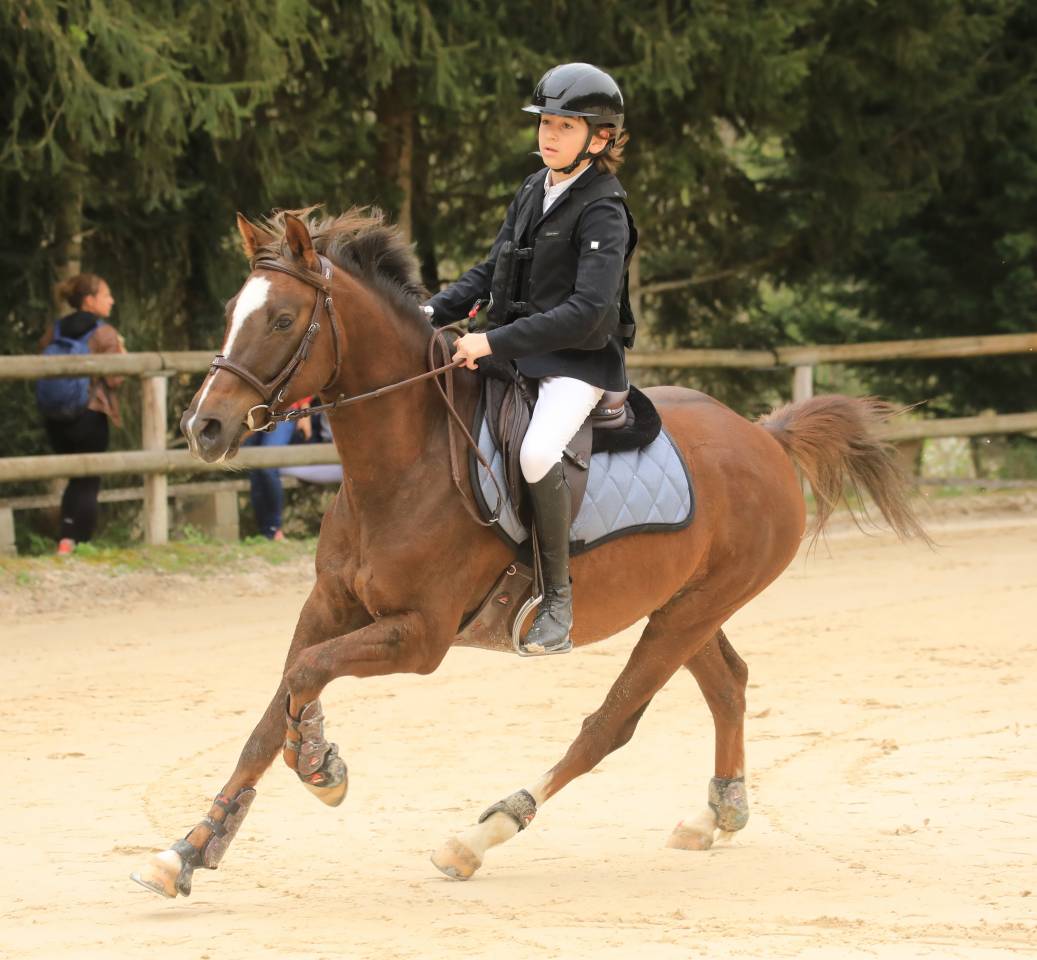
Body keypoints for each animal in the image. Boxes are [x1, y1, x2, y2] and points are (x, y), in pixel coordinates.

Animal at [131, 207, 927, 898]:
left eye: (282, 319)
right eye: (234, 309)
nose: (204, 427)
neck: (405, 462)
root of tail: (764, 436)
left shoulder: (420, 636)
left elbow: (305, 676)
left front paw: (321, 764)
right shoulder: (329, 605)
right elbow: (276, 707)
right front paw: (189, 849)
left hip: (688, 613)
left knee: (610, 726)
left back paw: (478, 837)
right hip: (685, 606)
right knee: (727, 684)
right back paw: (714, 815)